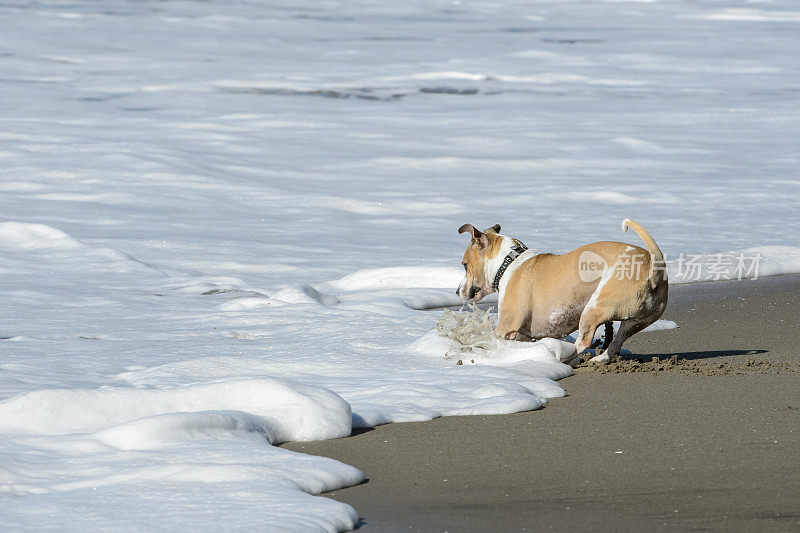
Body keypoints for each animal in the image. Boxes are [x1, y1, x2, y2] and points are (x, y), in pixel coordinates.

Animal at [456, 218, 668, 364]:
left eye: (465, 265)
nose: (457, 291)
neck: (509, 262)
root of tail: (653, 269)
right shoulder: (522, 334)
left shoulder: (506, 328)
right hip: (638, 320)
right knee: (618, 340)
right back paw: (598, 358)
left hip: (594, 307)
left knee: (583, 342)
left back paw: (560, 355)